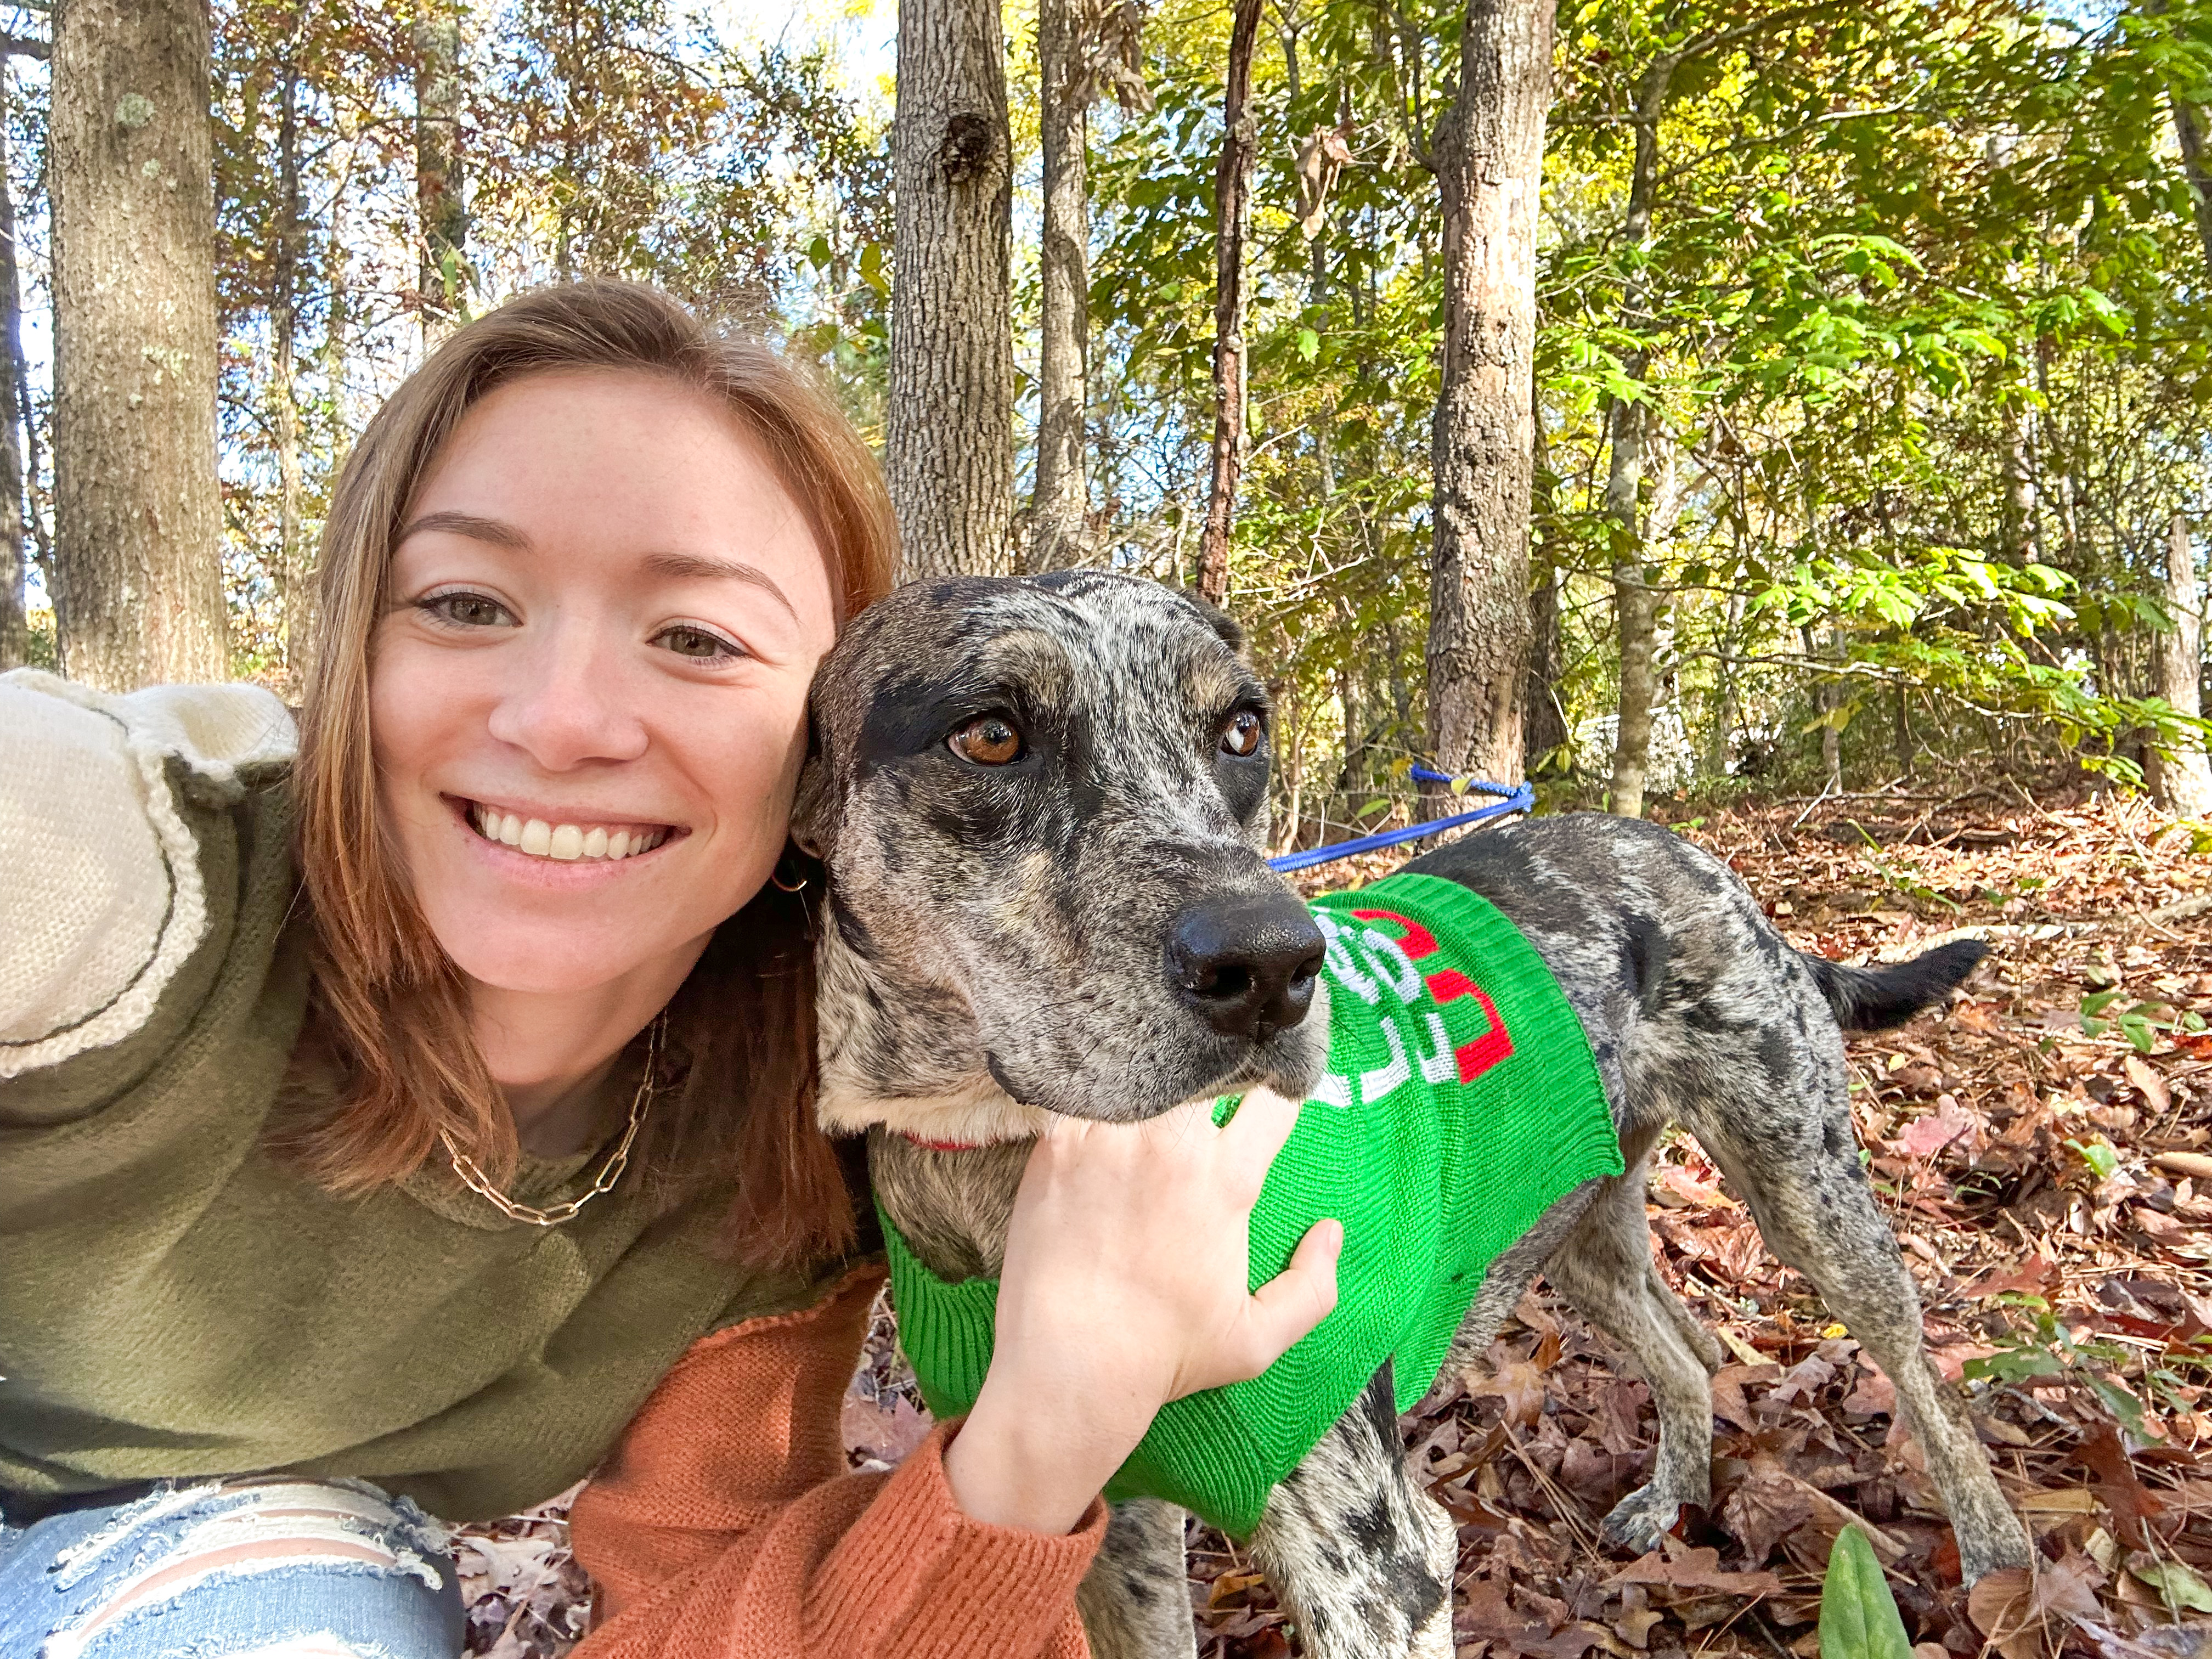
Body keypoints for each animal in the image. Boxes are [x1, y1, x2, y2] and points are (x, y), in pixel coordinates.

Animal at [800, 575, 2035, 1659]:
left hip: (1807, 1192)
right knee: (1687, 1345)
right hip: (1575, 1220)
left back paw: (1996, 1558)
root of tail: (1698, 858)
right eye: (989, 734)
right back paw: (1671, 1496)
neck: (999, 1168)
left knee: (1922, 1373)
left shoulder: (1380, 1566)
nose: (1273, 964)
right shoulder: (1112, 1537)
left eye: (1242, 729)